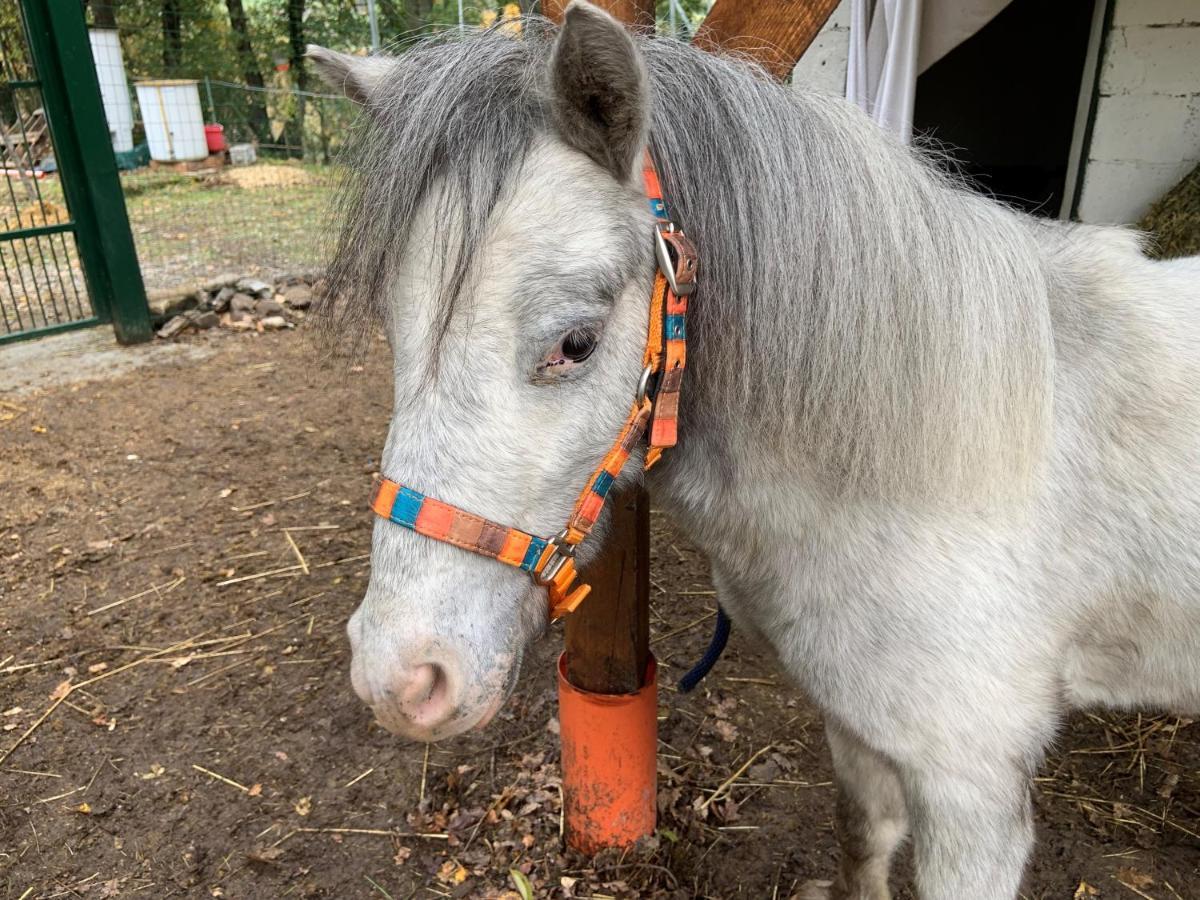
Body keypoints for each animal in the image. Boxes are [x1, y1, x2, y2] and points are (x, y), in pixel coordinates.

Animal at [307, 3, 1200, 897]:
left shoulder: (972, 789)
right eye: (393, 327)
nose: (400, 678)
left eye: (575, 342)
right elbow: (862, 837)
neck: (923, 464)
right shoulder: (859, 723)